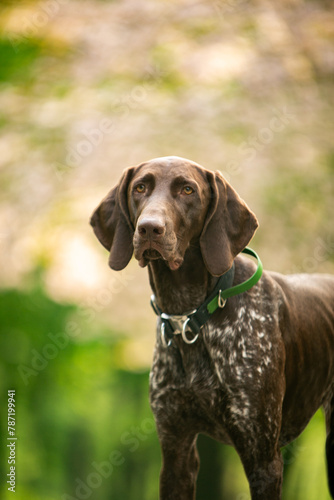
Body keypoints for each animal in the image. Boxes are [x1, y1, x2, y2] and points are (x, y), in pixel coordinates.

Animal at [89, 157, 334, 500]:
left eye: (187, 190)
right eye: (140, 188)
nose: (149, 228)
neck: (189, 314)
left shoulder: (263, 459)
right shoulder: (176, 451)